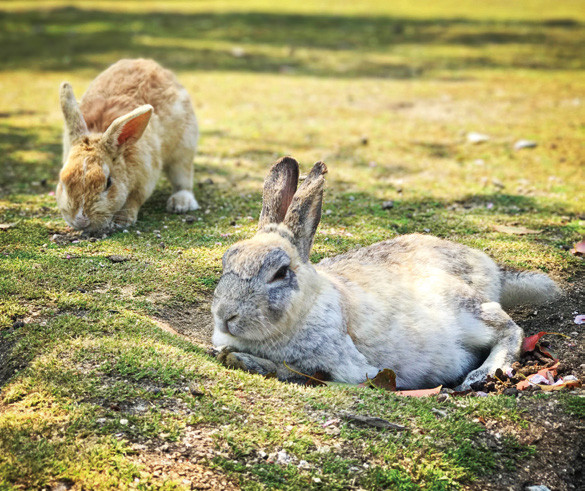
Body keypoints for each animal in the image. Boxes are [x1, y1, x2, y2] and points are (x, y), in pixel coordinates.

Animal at [56, 58, 200, 233]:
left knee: (183, 179)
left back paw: (181, 203)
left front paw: (121, 221)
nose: (81, 221)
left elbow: (134, 199)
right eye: (62, 181)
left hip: (184, 148)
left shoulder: (145, 179)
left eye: (108, 182)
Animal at [211, 158, 560, 392]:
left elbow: (295, 372)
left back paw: (483, 373)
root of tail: (489, 270)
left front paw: (241, 360)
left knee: (510, 329)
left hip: (467, 312)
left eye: (281, 272)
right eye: (228, 259)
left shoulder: (348, 368)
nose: (225, 316)